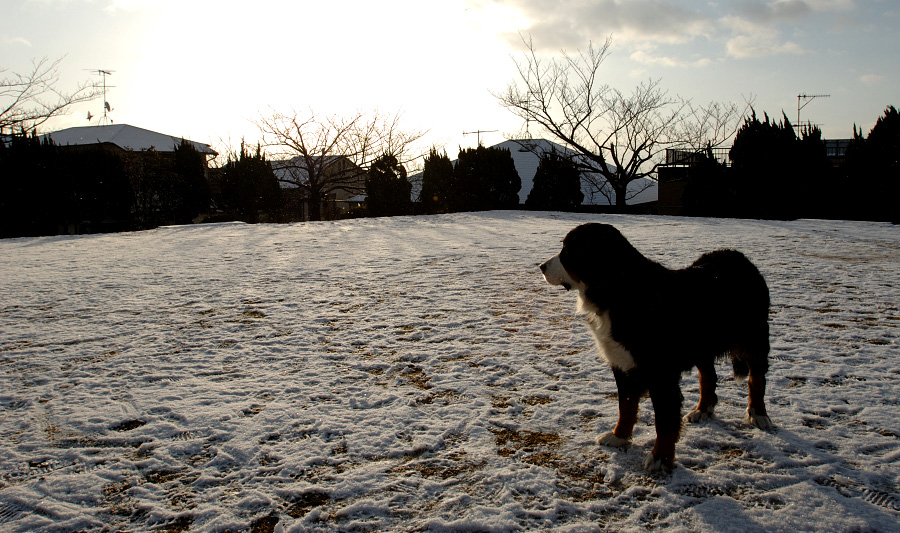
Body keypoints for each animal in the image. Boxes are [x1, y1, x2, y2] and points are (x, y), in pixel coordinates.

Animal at [540, 222, 772, 472]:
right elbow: (626, 406)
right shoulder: (622, 364)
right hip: (702, 345)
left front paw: (661, 457)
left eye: (568, 250)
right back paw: (703, 409)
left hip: (755, 339)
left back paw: (759, 414)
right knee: (708, 376)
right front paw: (619, 436)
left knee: (756, 379)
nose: (542, 267)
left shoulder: (661, 373)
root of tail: (736, 255)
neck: (619, 291)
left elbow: (664, 420)